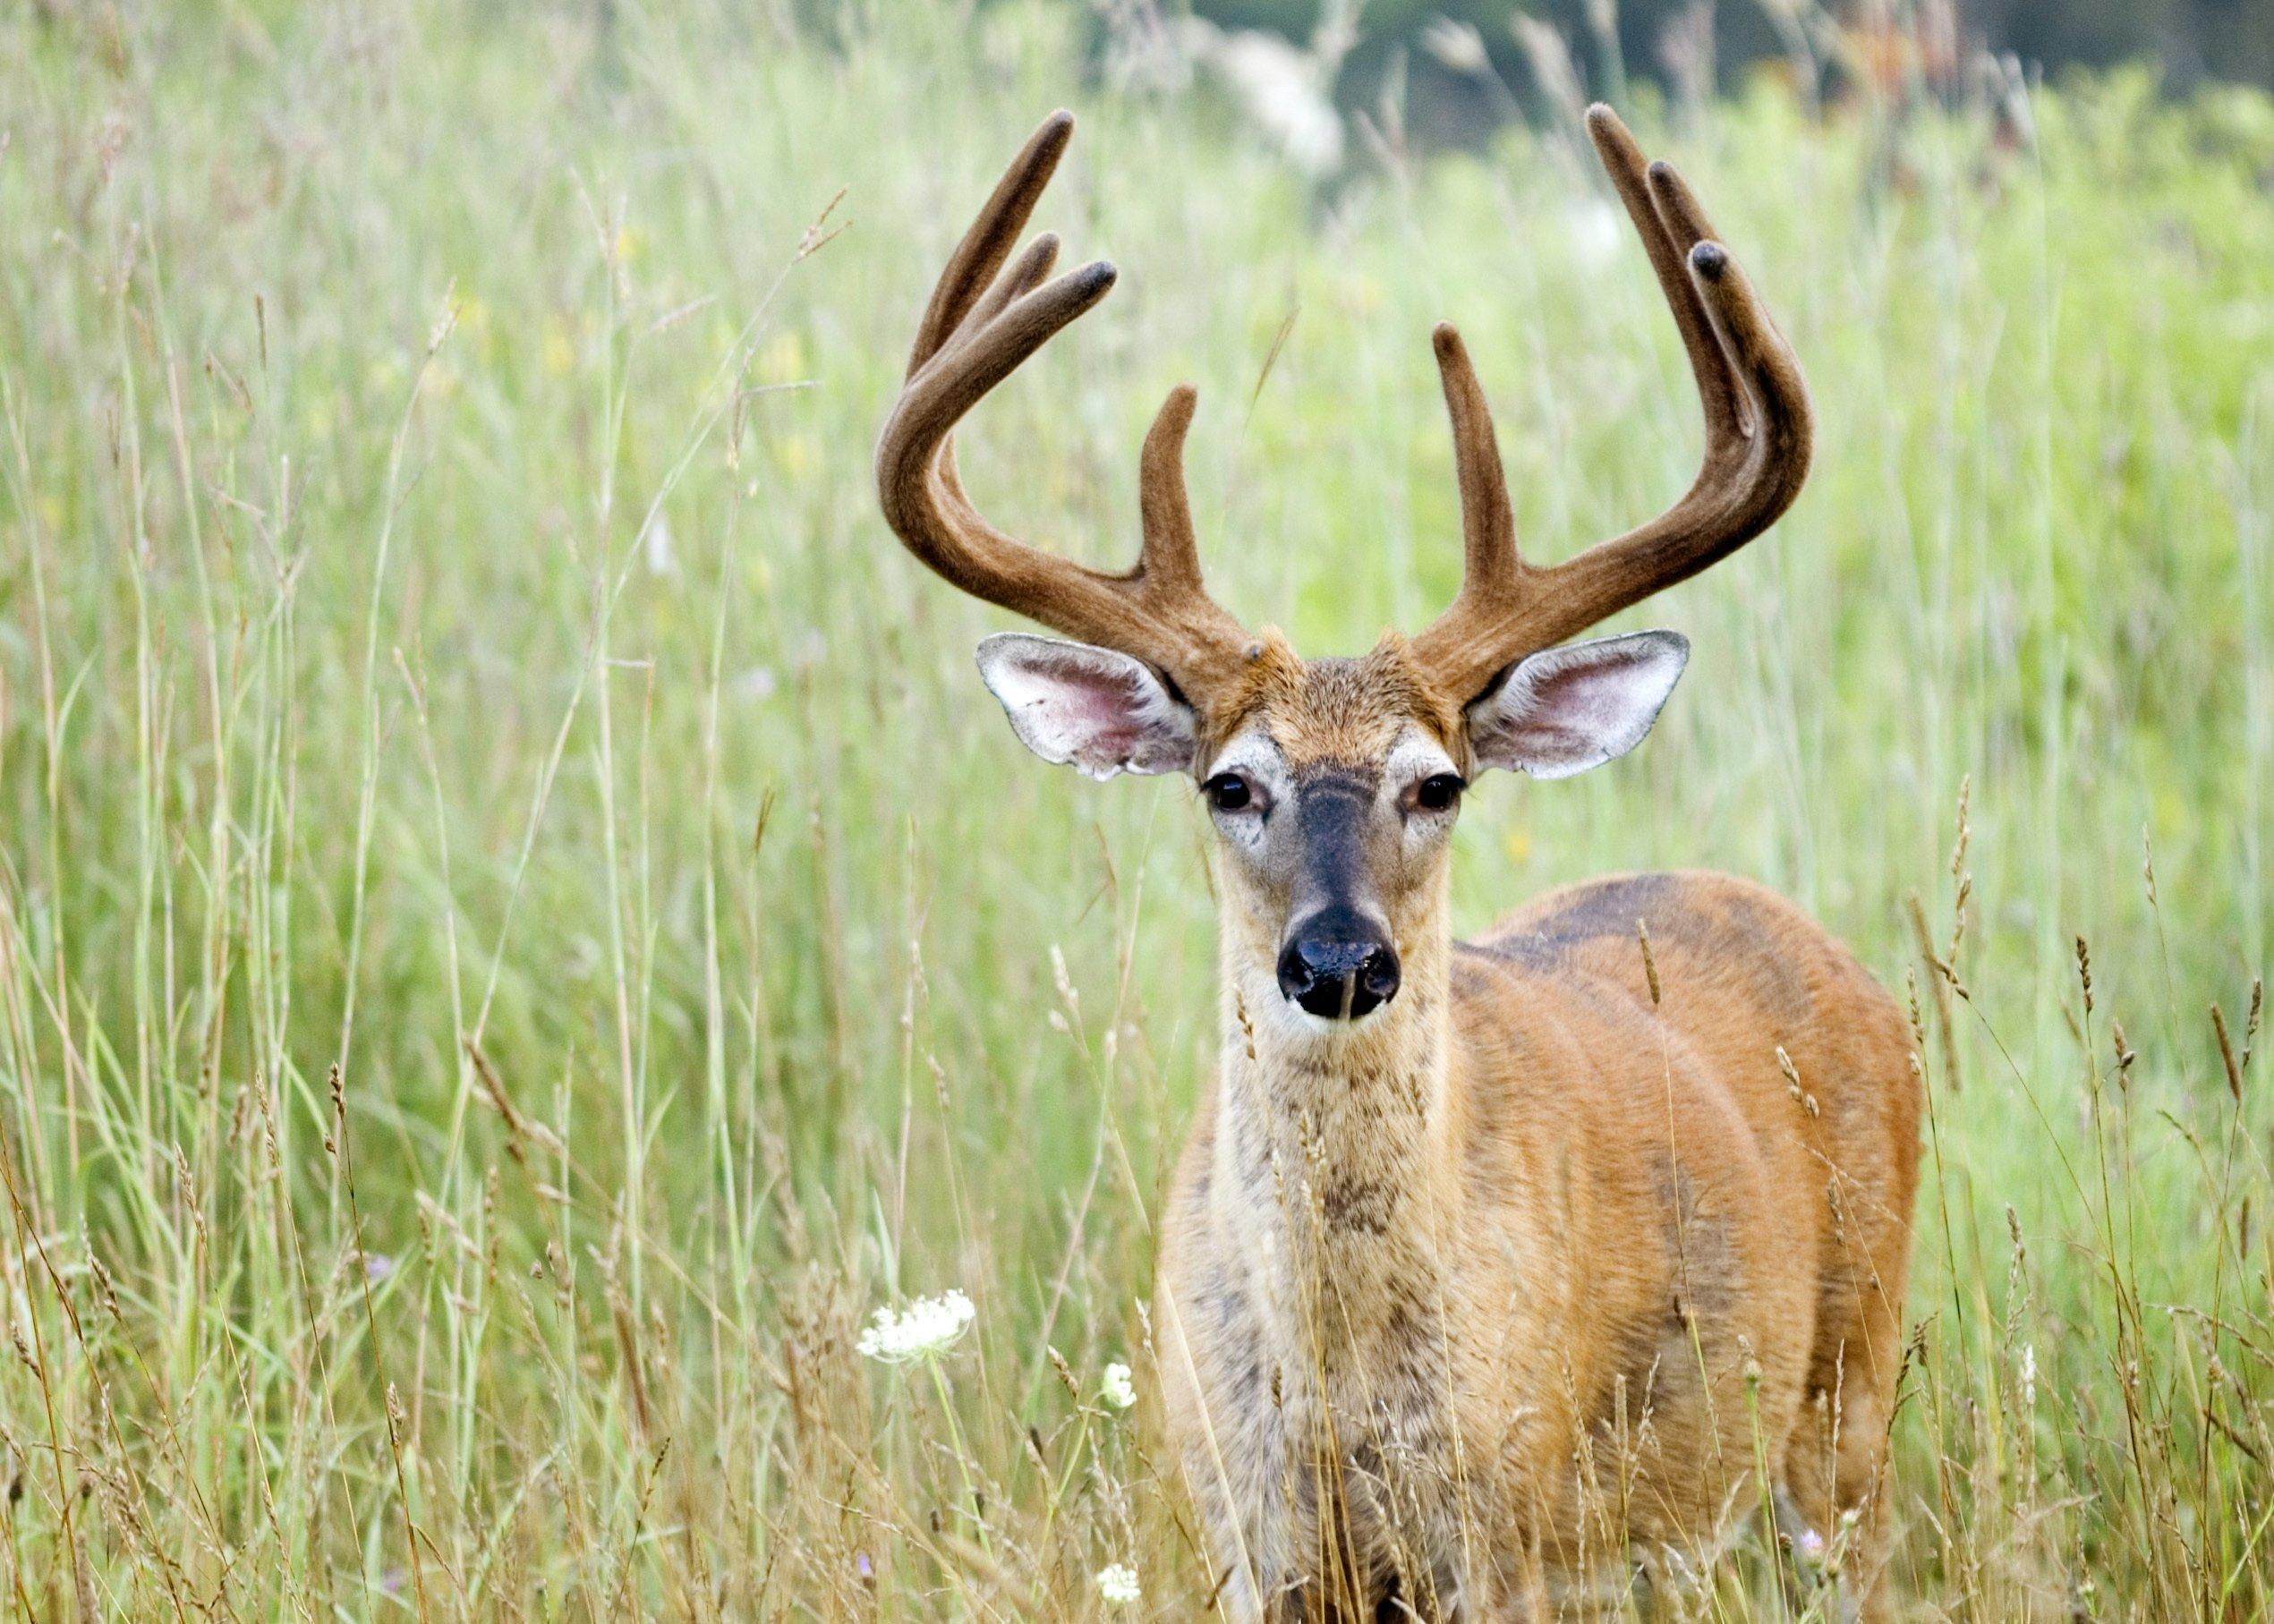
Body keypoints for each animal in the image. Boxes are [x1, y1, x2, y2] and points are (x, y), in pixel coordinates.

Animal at [868, 107, 1919, 1610]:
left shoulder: (1506, 1529)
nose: (1339, 958)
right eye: (1229, 782)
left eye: (1438, 783)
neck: (1337, 1386)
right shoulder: (1245, 1533)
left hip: (1848, 1406)